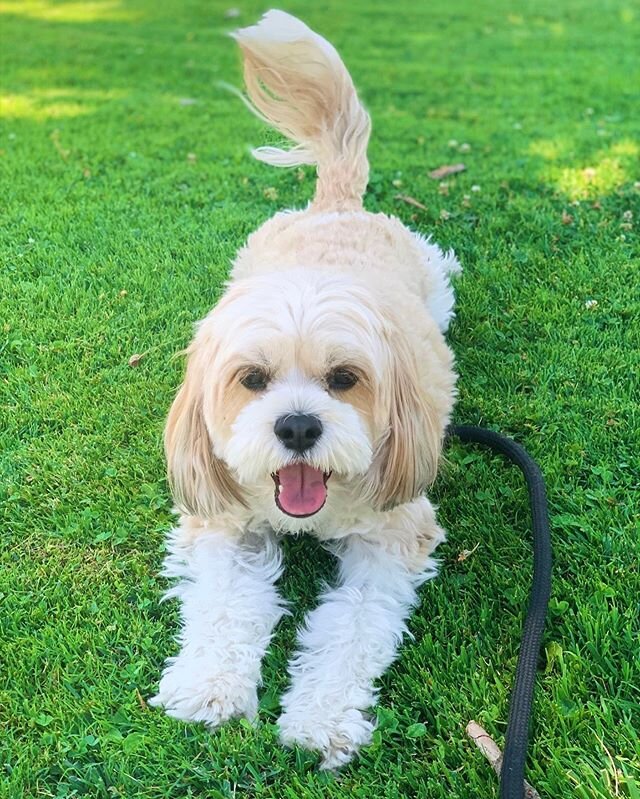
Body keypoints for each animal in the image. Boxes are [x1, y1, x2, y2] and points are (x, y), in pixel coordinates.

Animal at [150, 10, 460, 768]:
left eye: (344, 379)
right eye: (252, 379)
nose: (296, 426)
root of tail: (336, 206)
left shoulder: (395, 533)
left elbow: (352, 629)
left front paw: (319, 718)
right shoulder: (224, 520)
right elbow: (224, 605)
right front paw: (209, 687)